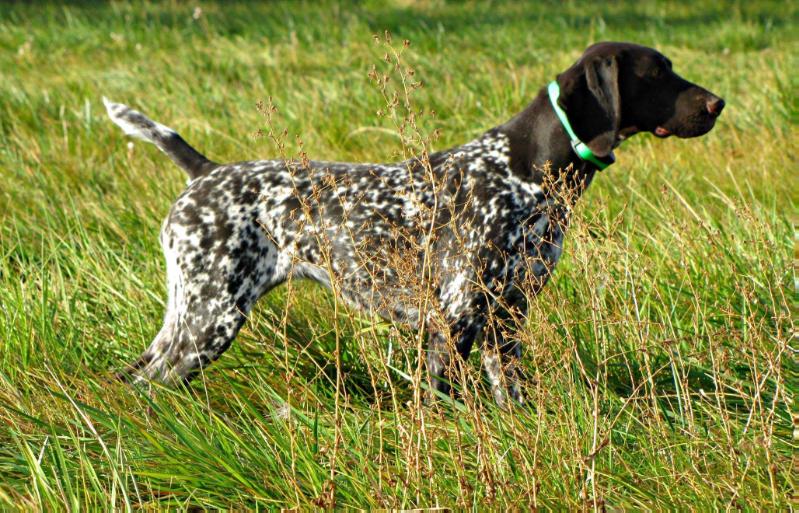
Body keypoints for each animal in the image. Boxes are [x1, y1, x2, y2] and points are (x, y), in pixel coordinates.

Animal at [104, 42, 724, 406]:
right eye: (658, 73)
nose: (718, 103)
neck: (525, 170)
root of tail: (204, 171)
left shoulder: (505, 321)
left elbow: (511, 400)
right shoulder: (455, 319)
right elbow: (439, 400)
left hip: (191, 316)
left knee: (131, 376)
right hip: (212, 317)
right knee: (143, 383)